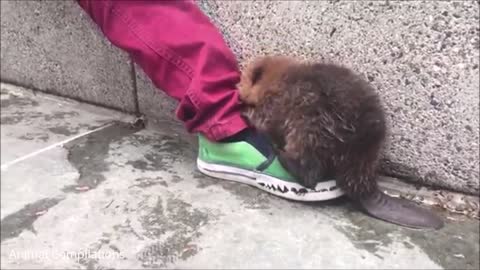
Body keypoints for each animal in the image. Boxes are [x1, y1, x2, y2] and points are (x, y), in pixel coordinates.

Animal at [238, 56, 444, 229]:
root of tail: (364, 186)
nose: (238, 88)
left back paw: (279, 151)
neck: (279, 78)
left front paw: (245, 112)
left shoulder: (273, 104)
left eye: (243, 79)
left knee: (309, 174)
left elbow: (263, 120)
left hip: (308, 128)